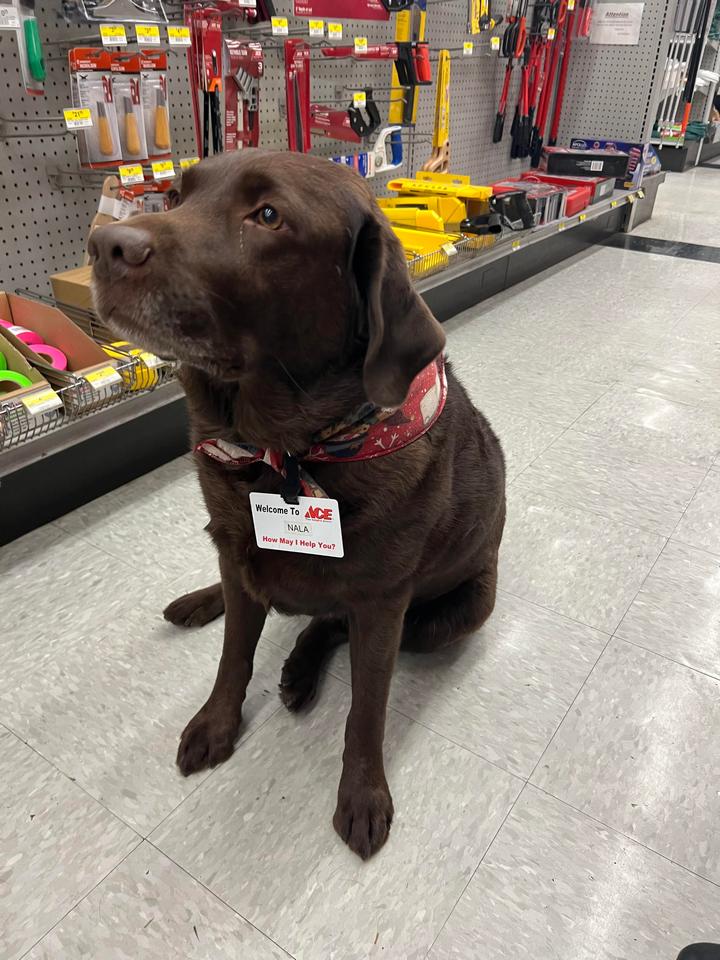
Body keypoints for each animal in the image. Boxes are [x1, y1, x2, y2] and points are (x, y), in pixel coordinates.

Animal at [89, 150, 506, 860]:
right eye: (175, 196)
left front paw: (363, 794)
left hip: (455, 613)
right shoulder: (238, 549)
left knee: (331, 623)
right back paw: (202, 603)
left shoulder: (383, 603)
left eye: (268, 216)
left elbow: (366, 708)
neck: (284, 454)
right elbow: (233, 655)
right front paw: (216, 723)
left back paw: (300, 669)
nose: (106, 246)